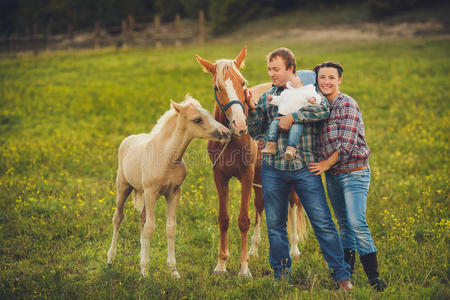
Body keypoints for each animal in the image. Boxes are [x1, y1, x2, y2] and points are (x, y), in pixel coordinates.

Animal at [107, 95, 229, 276]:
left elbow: (170, 228)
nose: (226, 133)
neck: (167, 157)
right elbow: (150, 228)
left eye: (208, 114)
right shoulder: (151, 193)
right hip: (123, 187)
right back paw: (111, 259)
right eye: (198, 119)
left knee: (142, 218)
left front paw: (173, 271)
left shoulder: (174, 193)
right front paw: (144, 272)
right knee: (118, 218)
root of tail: (128, 139)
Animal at [195, 46, 308, 276]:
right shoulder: (220, 176)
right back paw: (255, 249)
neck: (232, 138)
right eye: (217, 87)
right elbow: (224, 219)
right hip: (259, 175)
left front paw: (244, 268)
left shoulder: (246, 175)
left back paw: (294, 248)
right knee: (260, 204)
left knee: (293, 203)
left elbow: (243, 220)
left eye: (243, 83)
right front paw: (221, 265)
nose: (240, 124)